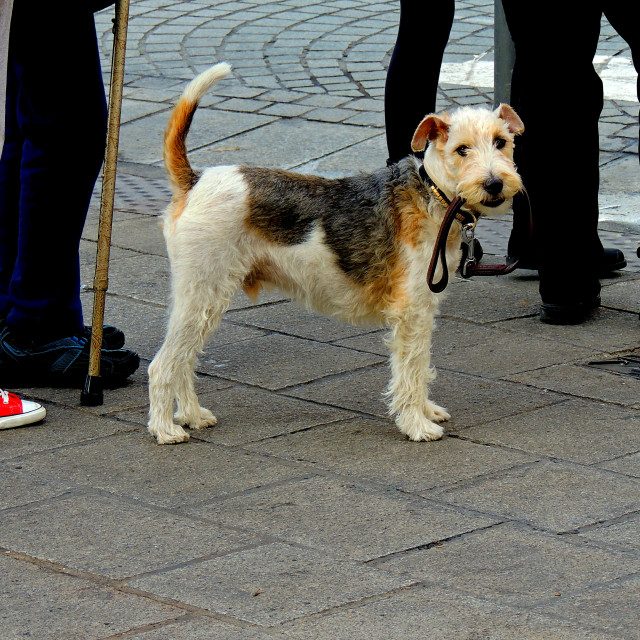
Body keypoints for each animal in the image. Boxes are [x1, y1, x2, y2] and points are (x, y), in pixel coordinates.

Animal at [146, 63, 524, 444]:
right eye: (462, 149)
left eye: (501, 142)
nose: (494, 184)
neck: (433, 192)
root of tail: (195, 180)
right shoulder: (411, 310)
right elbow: (410, 370)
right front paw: (417, 425)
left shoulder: (424, 307)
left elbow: (420, 365)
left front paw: (426, 411)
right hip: (203, 294)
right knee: (163, 365)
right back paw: (165, 429)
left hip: (203, 301)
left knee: (184, 361)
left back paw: (192, 416)